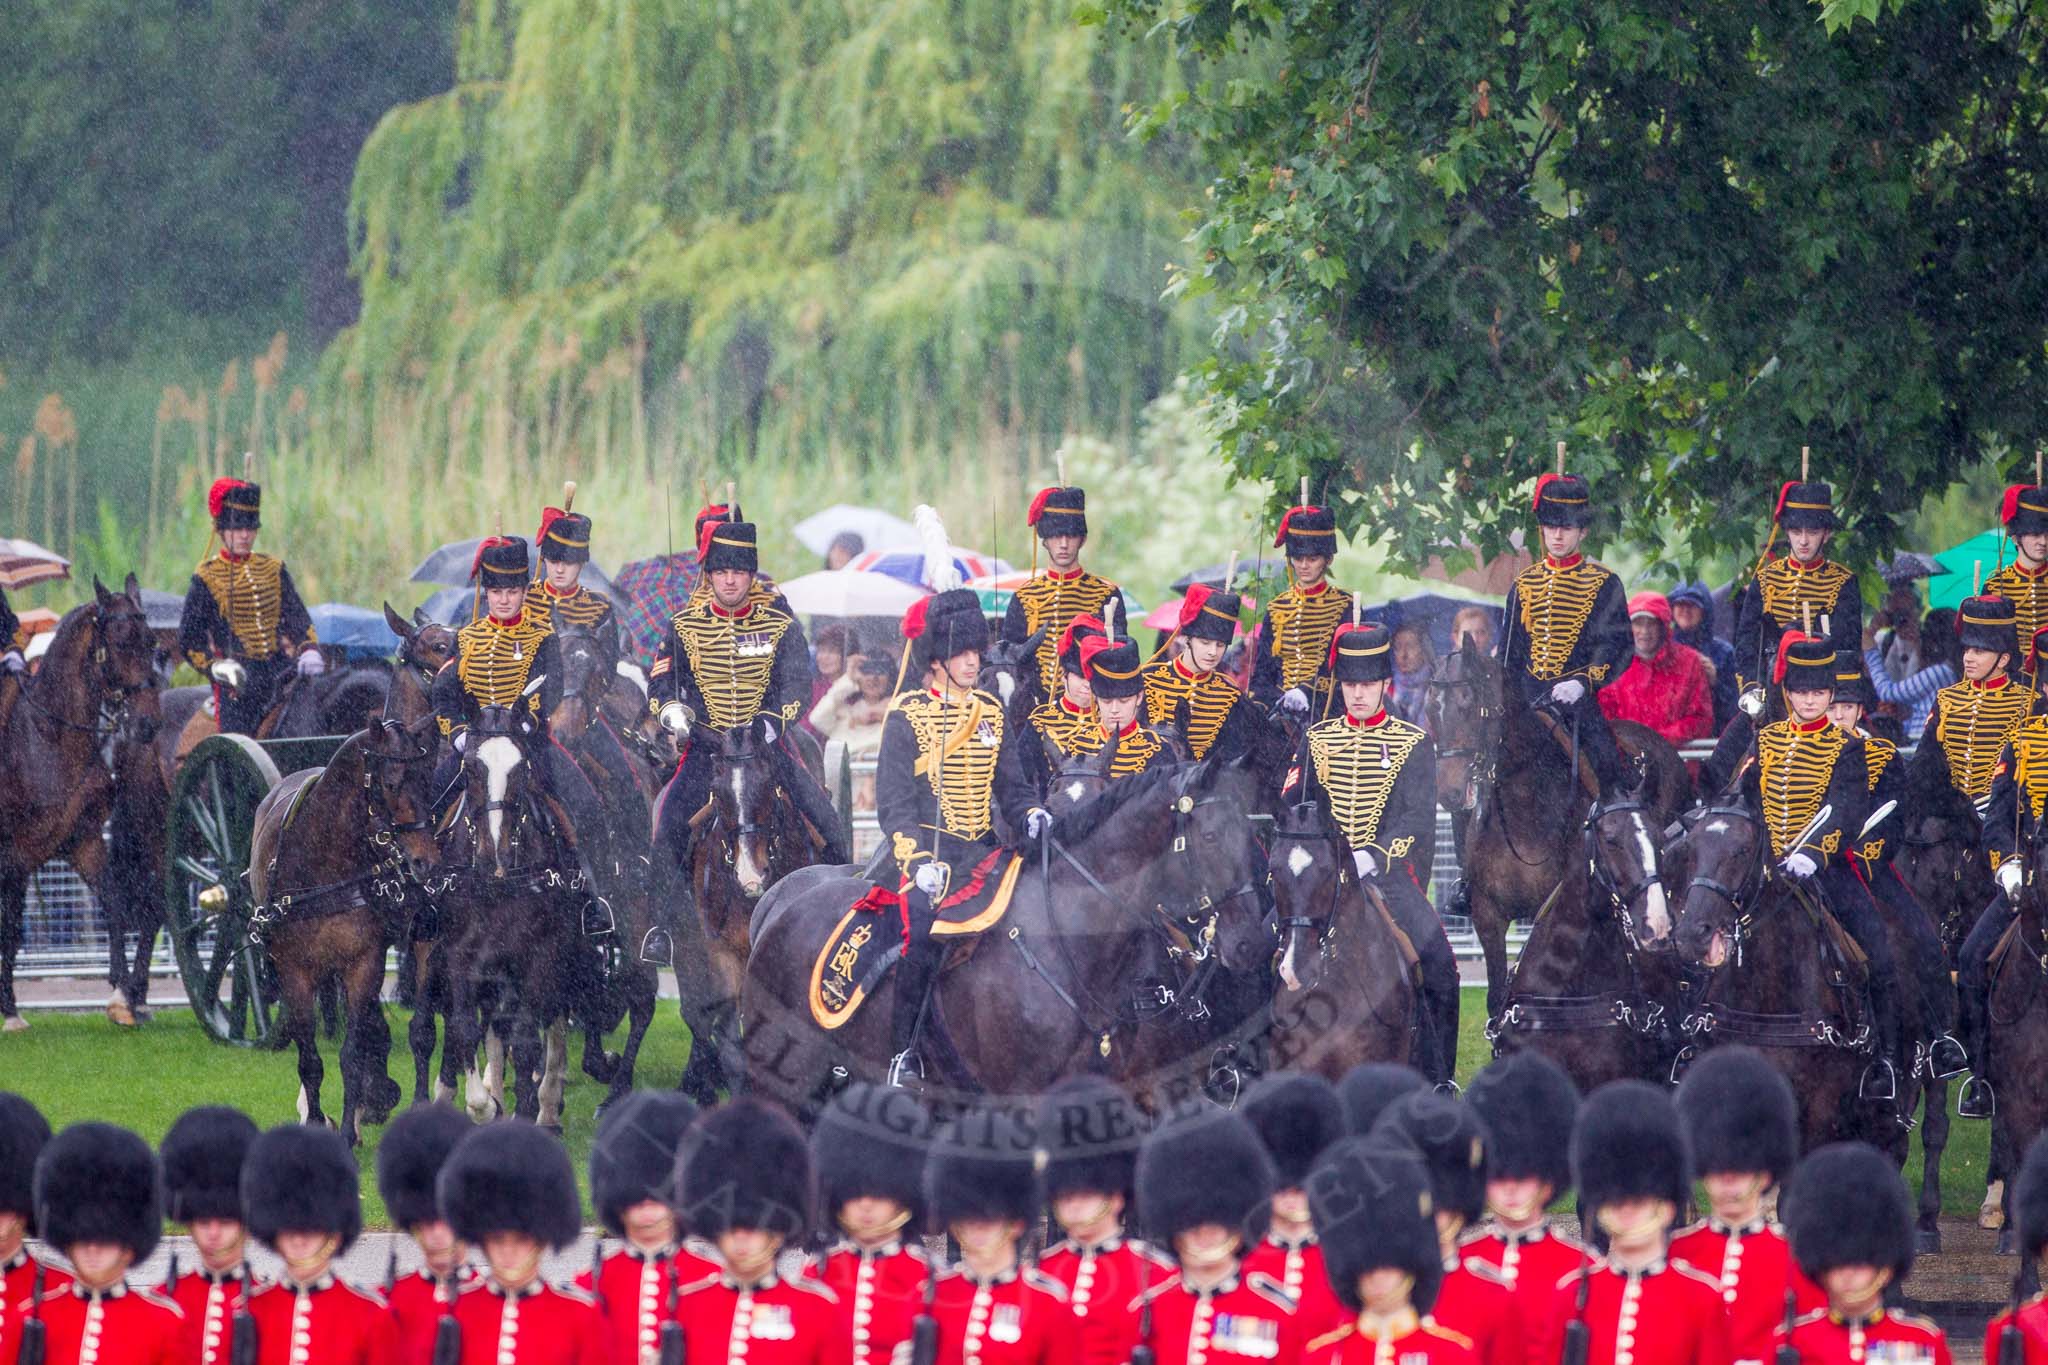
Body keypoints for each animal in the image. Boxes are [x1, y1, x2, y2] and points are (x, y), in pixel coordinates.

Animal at [0, 577, 158, 1035]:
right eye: (120, 641)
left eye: (151, 641)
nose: (148, 724)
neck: (47, 736)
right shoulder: (15, 855)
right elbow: (10, 930)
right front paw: (10, 1010)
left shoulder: (81, 841)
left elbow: (115, 902)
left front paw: (123, 998)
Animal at [247, 720, 440, 1146]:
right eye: (391, 782)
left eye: (428, 780)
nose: (425, 861)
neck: (322, 865)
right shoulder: (294, 972)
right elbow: (310, 1060)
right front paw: (319, 1121)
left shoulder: (363, 964)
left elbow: (351, 1055)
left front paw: (349, 1129)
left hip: (422, 944)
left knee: (420, 1030)